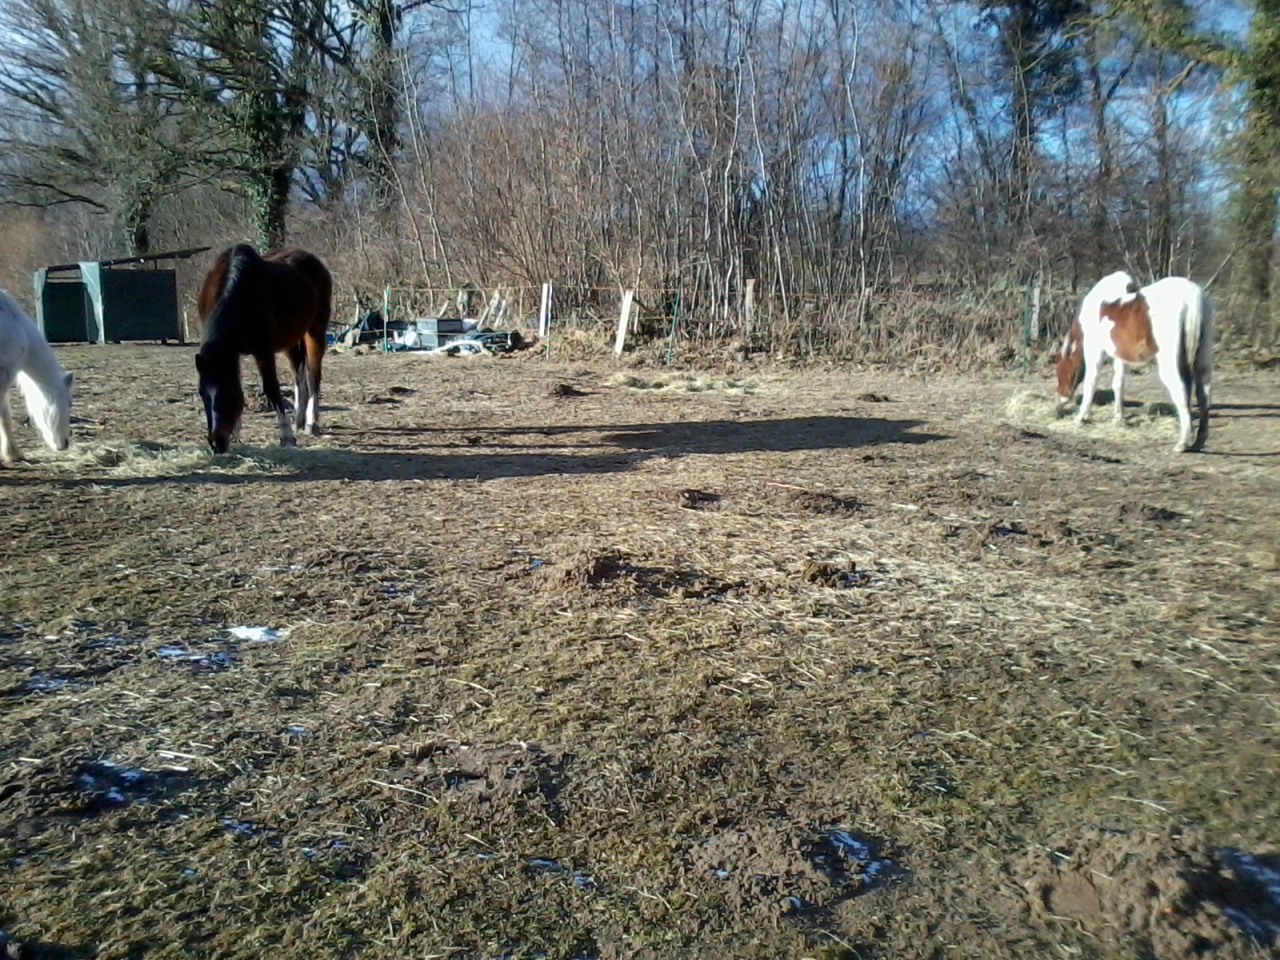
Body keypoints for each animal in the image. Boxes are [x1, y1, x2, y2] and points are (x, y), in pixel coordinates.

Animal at [195, 244, 332, 453]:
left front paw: (286, 436)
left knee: (313, 376)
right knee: (299, 374)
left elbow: (272, 388)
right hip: (290, 341)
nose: (216, 443)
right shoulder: (233, 355)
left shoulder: (263, 352)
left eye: (226, 394)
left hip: (315, 332)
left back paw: (311, 422)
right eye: (202, 395)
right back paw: (298, 421)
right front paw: (236, 434)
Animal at [1055, 270, 1214, 453]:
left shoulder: (1095, 349)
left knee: (1181, 391)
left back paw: (1183, 442)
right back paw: (1199, 441)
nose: (1059, 403)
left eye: (1060, 370)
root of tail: (1191, 294)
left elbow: (1091, 382)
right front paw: (1118, 418)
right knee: (1204, 394)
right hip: (1202, 360)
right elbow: (1118, 383)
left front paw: (1081, 417)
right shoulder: (1118, 354)